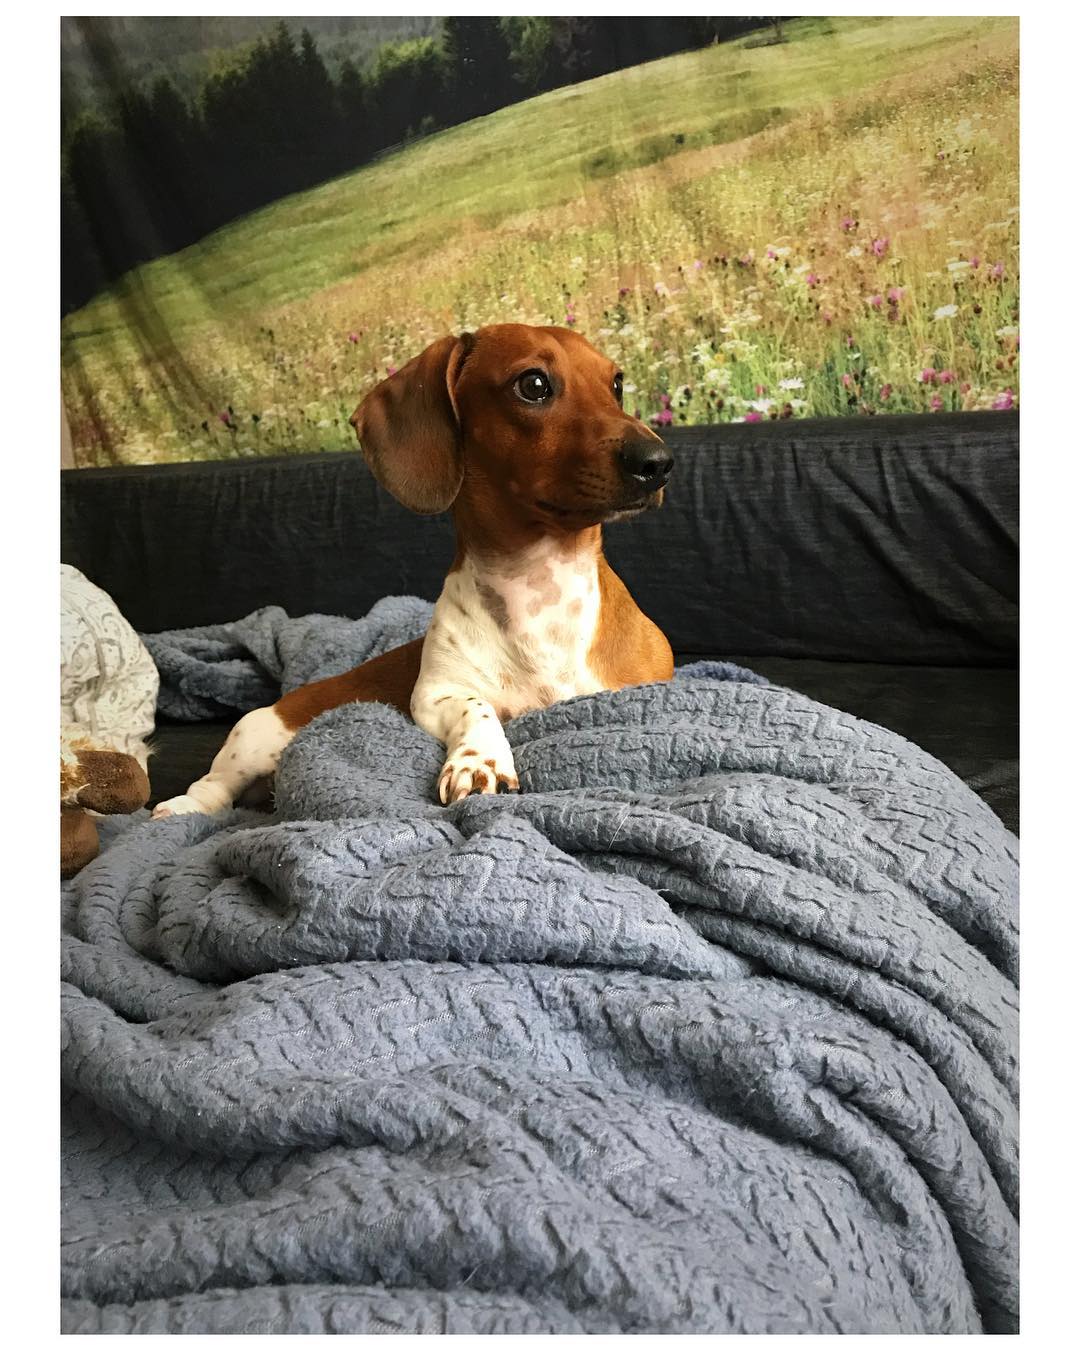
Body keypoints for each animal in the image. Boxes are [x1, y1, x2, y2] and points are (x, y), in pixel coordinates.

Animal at [151, 321, 675, 815]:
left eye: (616, 384)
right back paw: (179, 809)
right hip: (252, 737)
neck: (539, 590)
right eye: (534, 384)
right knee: (212, 788)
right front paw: (479, 761)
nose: (658, 462)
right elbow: (476, 705)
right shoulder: (434, 696)